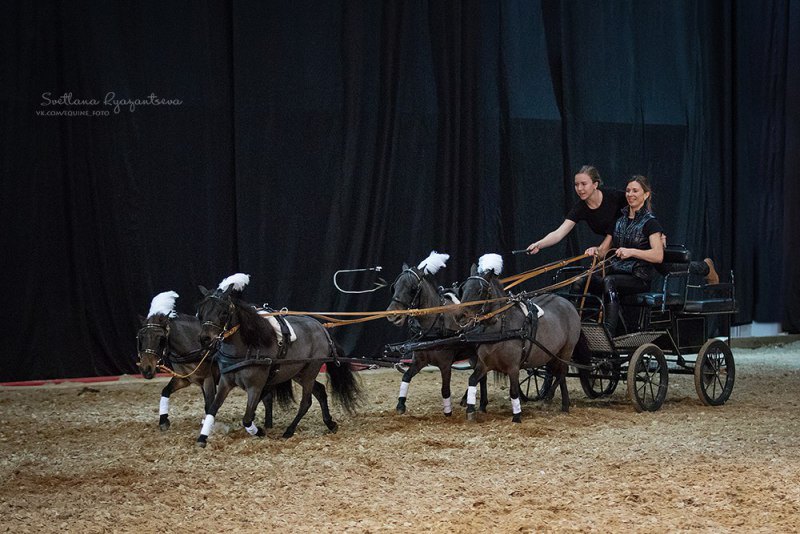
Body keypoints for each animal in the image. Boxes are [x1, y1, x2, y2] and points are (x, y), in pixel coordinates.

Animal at [138, 292, 290, 434]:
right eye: (140, 337)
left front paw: (211, 426)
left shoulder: (208, 379)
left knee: (266, 398)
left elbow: (209, 404)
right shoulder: (185, 379)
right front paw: (164, 421)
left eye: (161, 338)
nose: (146, 369)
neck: (194, 346)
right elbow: (166, 391)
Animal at [195, 276, 360, 448]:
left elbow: (247, 418)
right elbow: (212, 409)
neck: (248, 347)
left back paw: (290, 430)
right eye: (200, 312)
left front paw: (259, 431)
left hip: (311, 371)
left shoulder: (255, 387)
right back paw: (330, 423)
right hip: (298, 373)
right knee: (320, 391)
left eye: (224, 312)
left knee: (306, 402)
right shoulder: (226, 382)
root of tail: (322, 329)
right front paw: (202, 437)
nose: (205, 339)